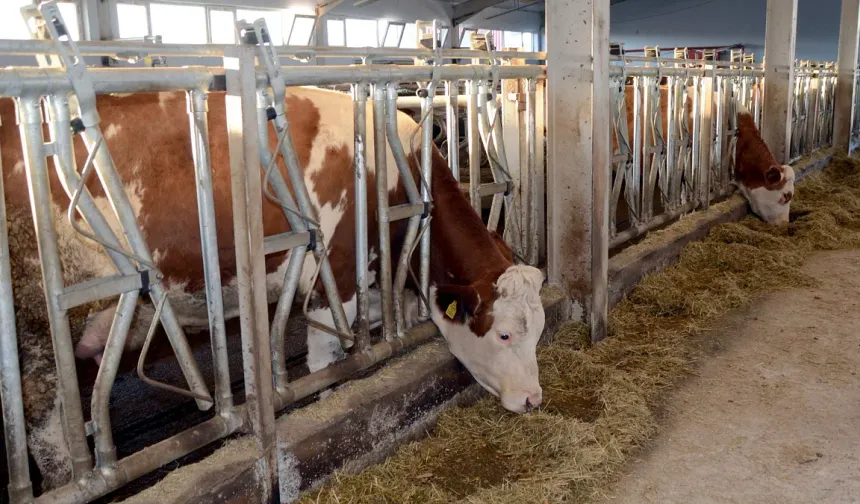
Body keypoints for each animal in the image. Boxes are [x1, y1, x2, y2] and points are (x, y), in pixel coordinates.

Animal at [0, 86, 544, 492]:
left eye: (538, 332)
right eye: (503, 335)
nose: (534, 400)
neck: (394, 180)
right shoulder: (333, 283)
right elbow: (330, 368)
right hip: (38, 329)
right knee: (47, 433)